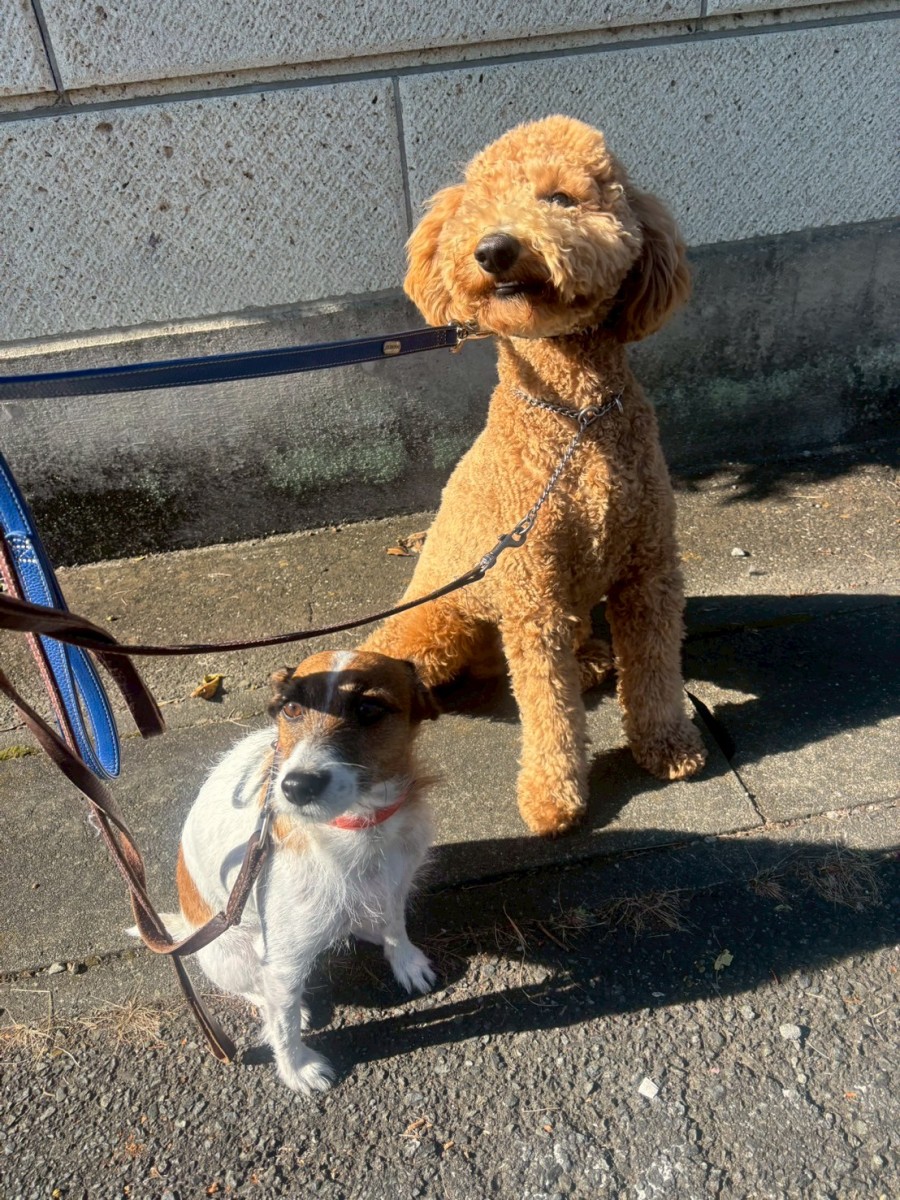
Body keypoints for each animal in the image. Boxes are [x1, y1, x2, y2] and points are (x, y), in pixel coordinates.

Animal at [170, 649, 438, 1094]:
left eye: (368, 709)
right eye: (292, 709)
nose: (296, 787)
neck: (357, 826)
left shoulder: (396, 882)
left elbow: (395, 925)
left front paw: (405, 960)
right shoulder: (282, 962)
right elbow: (285, 1023)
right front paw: (296, 1068)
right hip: (230, 957)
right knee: (258, 989)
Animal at [363, 115, 706, 836]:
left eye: (560, 199)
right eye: (480, 206)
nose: (494, 249)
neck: (576, 414)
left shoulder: (648, 568)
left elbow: (656, 669)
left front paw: (666, 743)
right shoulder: (532, 595)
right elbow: (549, 707)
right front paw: (554, 794)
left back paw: (594, 658)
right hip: (437, 625)